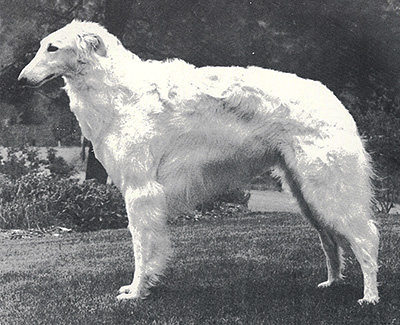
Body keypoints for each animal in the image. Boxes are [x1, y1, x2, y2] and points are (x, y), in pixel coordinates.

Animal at [18, 20, 380, 304]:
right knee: (331, 241)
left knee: (366, 237)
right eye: (41, 46)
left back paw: (370, 297)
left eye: (52, 47)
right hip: (305, 191)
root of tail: (331, 98)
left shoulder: (140, 190)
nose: (20, 79)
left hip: (329, 187)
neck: (118, 89)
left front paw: (136, 292)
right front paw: (148, 285)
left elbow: (141, 246)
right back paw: (332, 283)